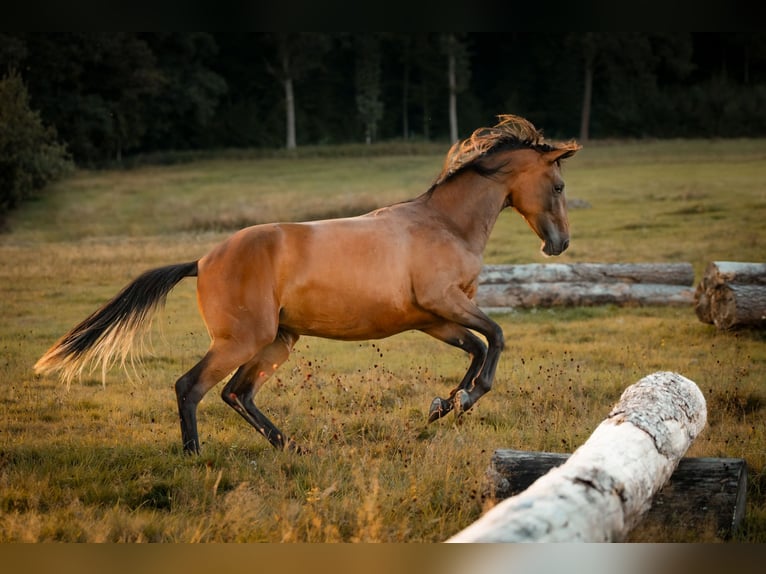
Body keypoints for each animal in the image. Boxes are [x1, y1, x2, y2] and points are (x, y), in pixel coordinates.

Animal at [31, 116, 584, 454]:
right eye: (558, 186)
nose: (558, 245)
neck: (444, 224)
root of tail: (203, 260)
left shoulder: (432, 319)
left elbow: (476, 347)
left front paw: (442, 405)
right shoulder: (443, 303)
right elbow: (496, 339)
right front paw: (463, 401)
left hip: (277, 341)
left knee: (237, 393)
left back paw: (290, 447)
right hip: (243, 340)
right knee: (192, 387)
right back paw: (195, 456)